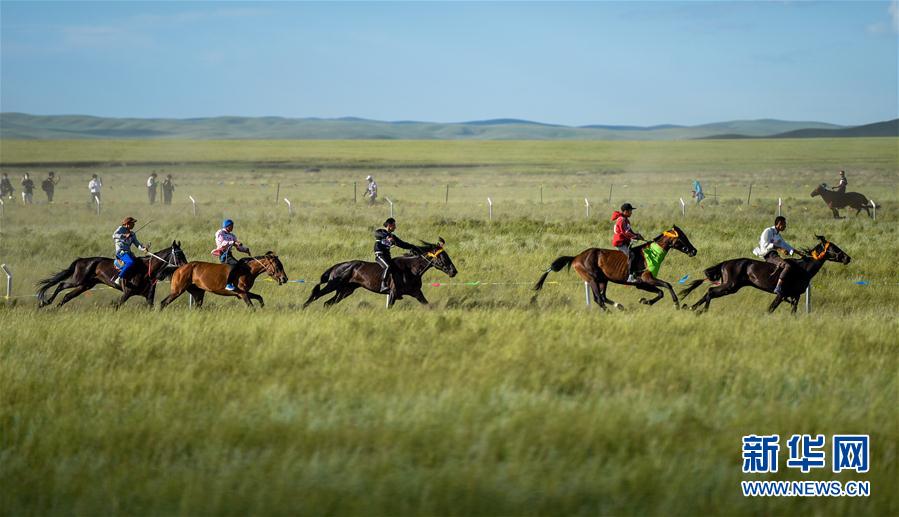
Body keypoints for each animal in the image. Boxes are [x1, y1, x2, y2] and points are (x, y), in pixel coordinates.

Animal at [35, 240, 188, 308]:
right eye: (178, 254)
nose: (186, 265)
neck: (147, 270)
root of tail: (81, 260)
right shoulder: (127, 293)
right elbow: (117, 305)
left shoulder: (149, 297)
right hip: (79, 281)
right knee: (61, 285)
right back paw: (45, 302)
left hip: (85, 285)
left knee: (67, 296)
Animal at [159, 252, 288, 308]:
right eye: (278, 266)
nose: (285, 279)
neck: (248, 270)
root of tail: (178, 268)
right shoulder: (242, 293)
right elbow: (251, 307)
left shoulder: (245, 292)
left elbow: (260, 298)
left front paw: (262, 307)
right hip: (177, 290)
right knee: (163, 303)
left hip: (198, 293)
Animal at [302, 240, 458, 308]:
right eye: (443, 256)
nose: (454, 271)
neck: (411, 270)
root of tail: (338, 266)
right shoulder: (393, 293)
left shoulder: (416, 293)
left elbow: (427, 305)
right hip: (333, 285)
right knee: (316, 295)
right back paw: (303, 307)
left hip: (345, 291)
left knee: (328, 303)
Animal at [532, 224, 700, 308]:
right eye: (682, 238)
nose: (694, 251)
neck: (652, 253)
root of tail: (576, 257)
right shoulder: (646, 279)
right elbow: (667, 286)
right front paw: (676, 303)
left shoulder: (642, 284)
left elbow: (660, 292)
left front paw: (646, 301)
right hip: (592, 279)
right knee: (598, 299)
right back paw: (610, 312)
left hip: (603, 280)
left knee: (603, 297)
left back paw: (619, 306)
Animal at [684, 235, 852, 314]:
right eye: (835, 248)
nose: (847, 258)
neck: (803, 268)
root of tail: (725, 263)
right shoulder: (781, 294)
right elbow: (770, 309)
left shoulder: (795, 297)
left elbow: (793, 312)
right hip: (730, 286)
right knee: (711, 291)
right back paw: (701, 310)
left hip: (729, 286)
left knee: (709, 292)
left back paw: (691, 308)